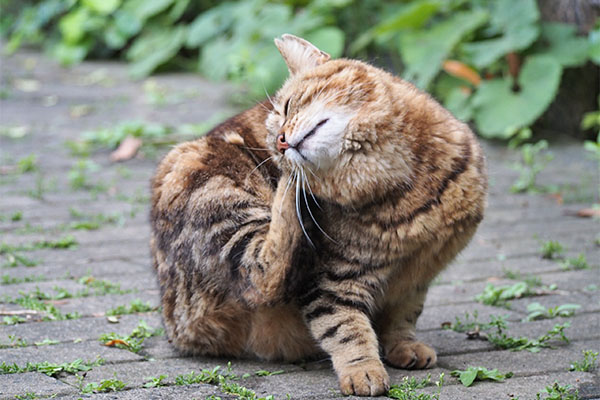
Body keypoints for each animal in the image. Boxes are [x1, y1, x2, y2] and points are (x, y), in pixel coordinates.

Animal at [150, 34, 488, 396]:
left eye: (286, 107)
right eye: (274, 139)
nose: (280, 144)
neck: (402, 187)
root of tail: (175, 325)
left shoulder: (416, 278)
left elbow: (403, 317)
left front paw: (404, 346)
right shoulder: (332, 280)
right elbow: (345, 329)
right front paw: (363, 370)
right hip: (220, 201)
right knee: (263, 276)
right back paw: (287, 188)